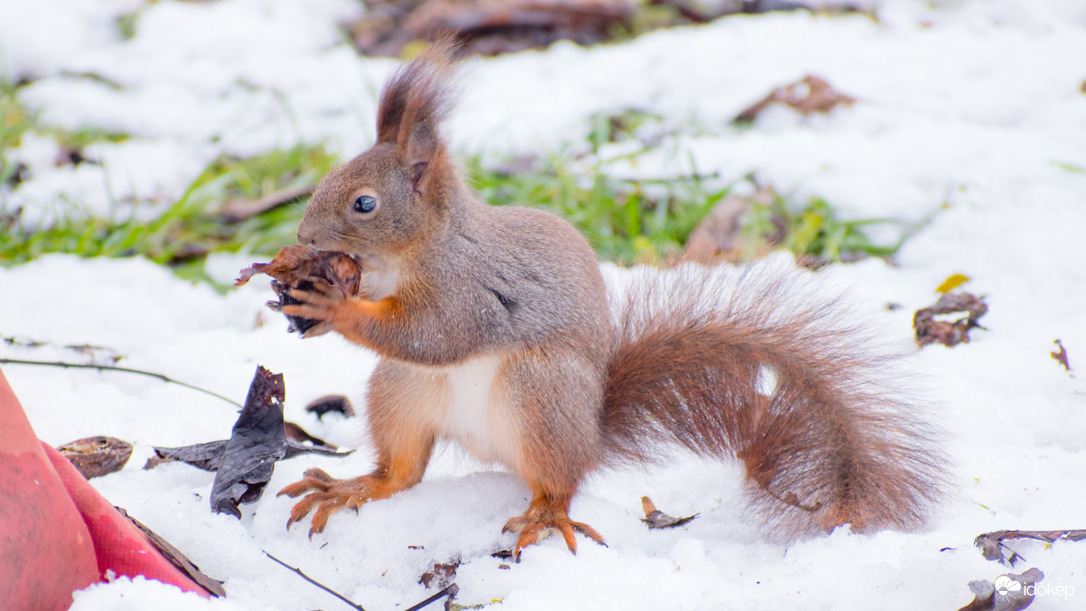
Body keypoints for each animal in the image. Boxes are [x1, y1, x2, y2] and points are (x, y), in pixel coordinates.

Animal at [275, 41, 946, 559]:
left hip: (540, 394)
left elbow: (436, 335)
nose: (303, 237)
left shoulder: (470, 290)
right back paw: (351, 489)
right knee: (405, 472)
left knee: (556, 482)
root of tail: (587, 436)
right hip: (402, 392)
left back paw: (546, 517)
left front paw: (333, 308)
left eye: (364, 203)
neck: (409, 256)